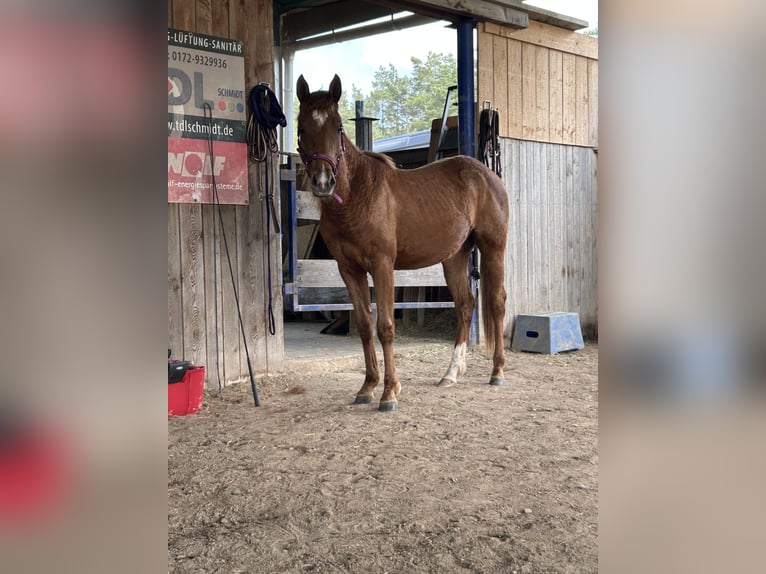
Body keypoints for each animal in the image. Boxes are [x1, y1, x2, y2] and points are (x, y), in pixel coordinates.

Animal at [296, 74, 509, 412]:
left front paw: (389, 393)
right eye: (302, 127)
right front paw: (367, 387)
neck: (357, 196)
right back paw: (451, 373)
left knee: (497, 302)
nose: (323, 182)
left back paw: (497, 371)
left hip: (493, 248)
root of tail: (487, 174)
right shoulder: (349, 270)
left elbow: (385, 327)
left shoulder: (382, 267)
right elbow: (365, 325)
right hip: (454, 257)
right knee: (466, 304)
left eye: (338, 127)